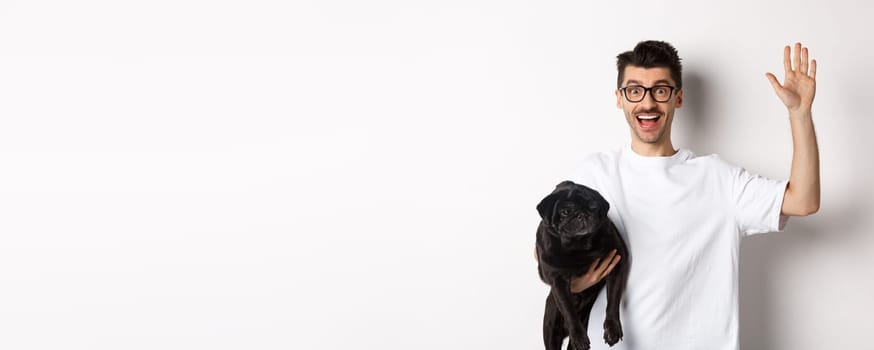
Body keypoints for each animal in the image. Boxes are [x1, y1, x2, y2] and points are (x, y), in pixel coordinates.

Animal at [532, 180, 628, 350]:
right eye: (564, 212)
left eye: (593, 207)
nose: (582, 214)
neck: (579, 246)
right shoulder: (557, 281)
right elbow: (568, 310)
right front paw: (579, 337)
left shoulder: (616, 263)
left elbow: (613, 301)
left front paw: (612, 329)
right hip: (551, 325)